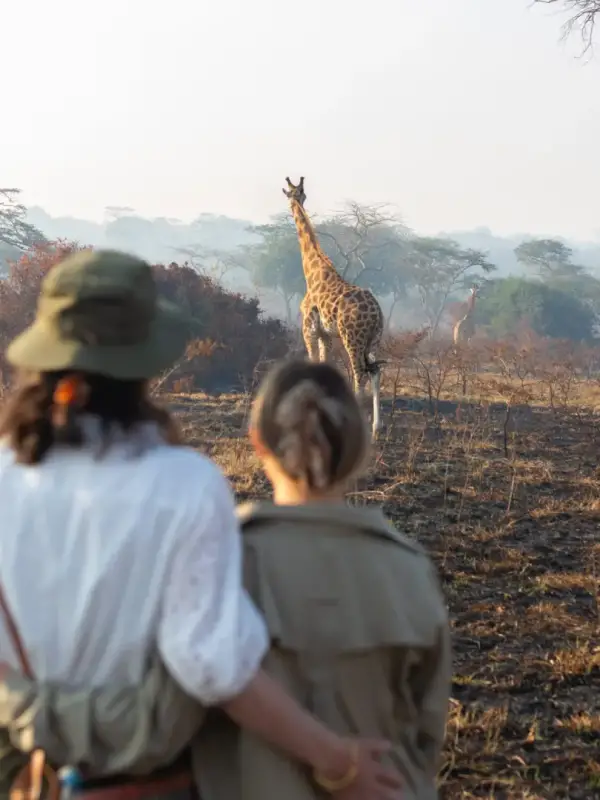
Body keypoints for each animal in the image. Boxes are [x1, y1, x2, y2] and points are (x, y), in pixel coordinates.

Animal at [284, 176, 386, 438]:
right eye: (300, 194)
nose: (295, 200)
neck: (313, 272)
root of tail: (376, 313)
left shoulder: (309, 330)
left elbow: (312, 363)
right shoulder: (326, 335)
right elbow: (324, 365)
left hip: (352, 337)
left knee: (359, 373)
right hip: (374, 338)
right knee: (375, 371)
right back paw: (376, 428)